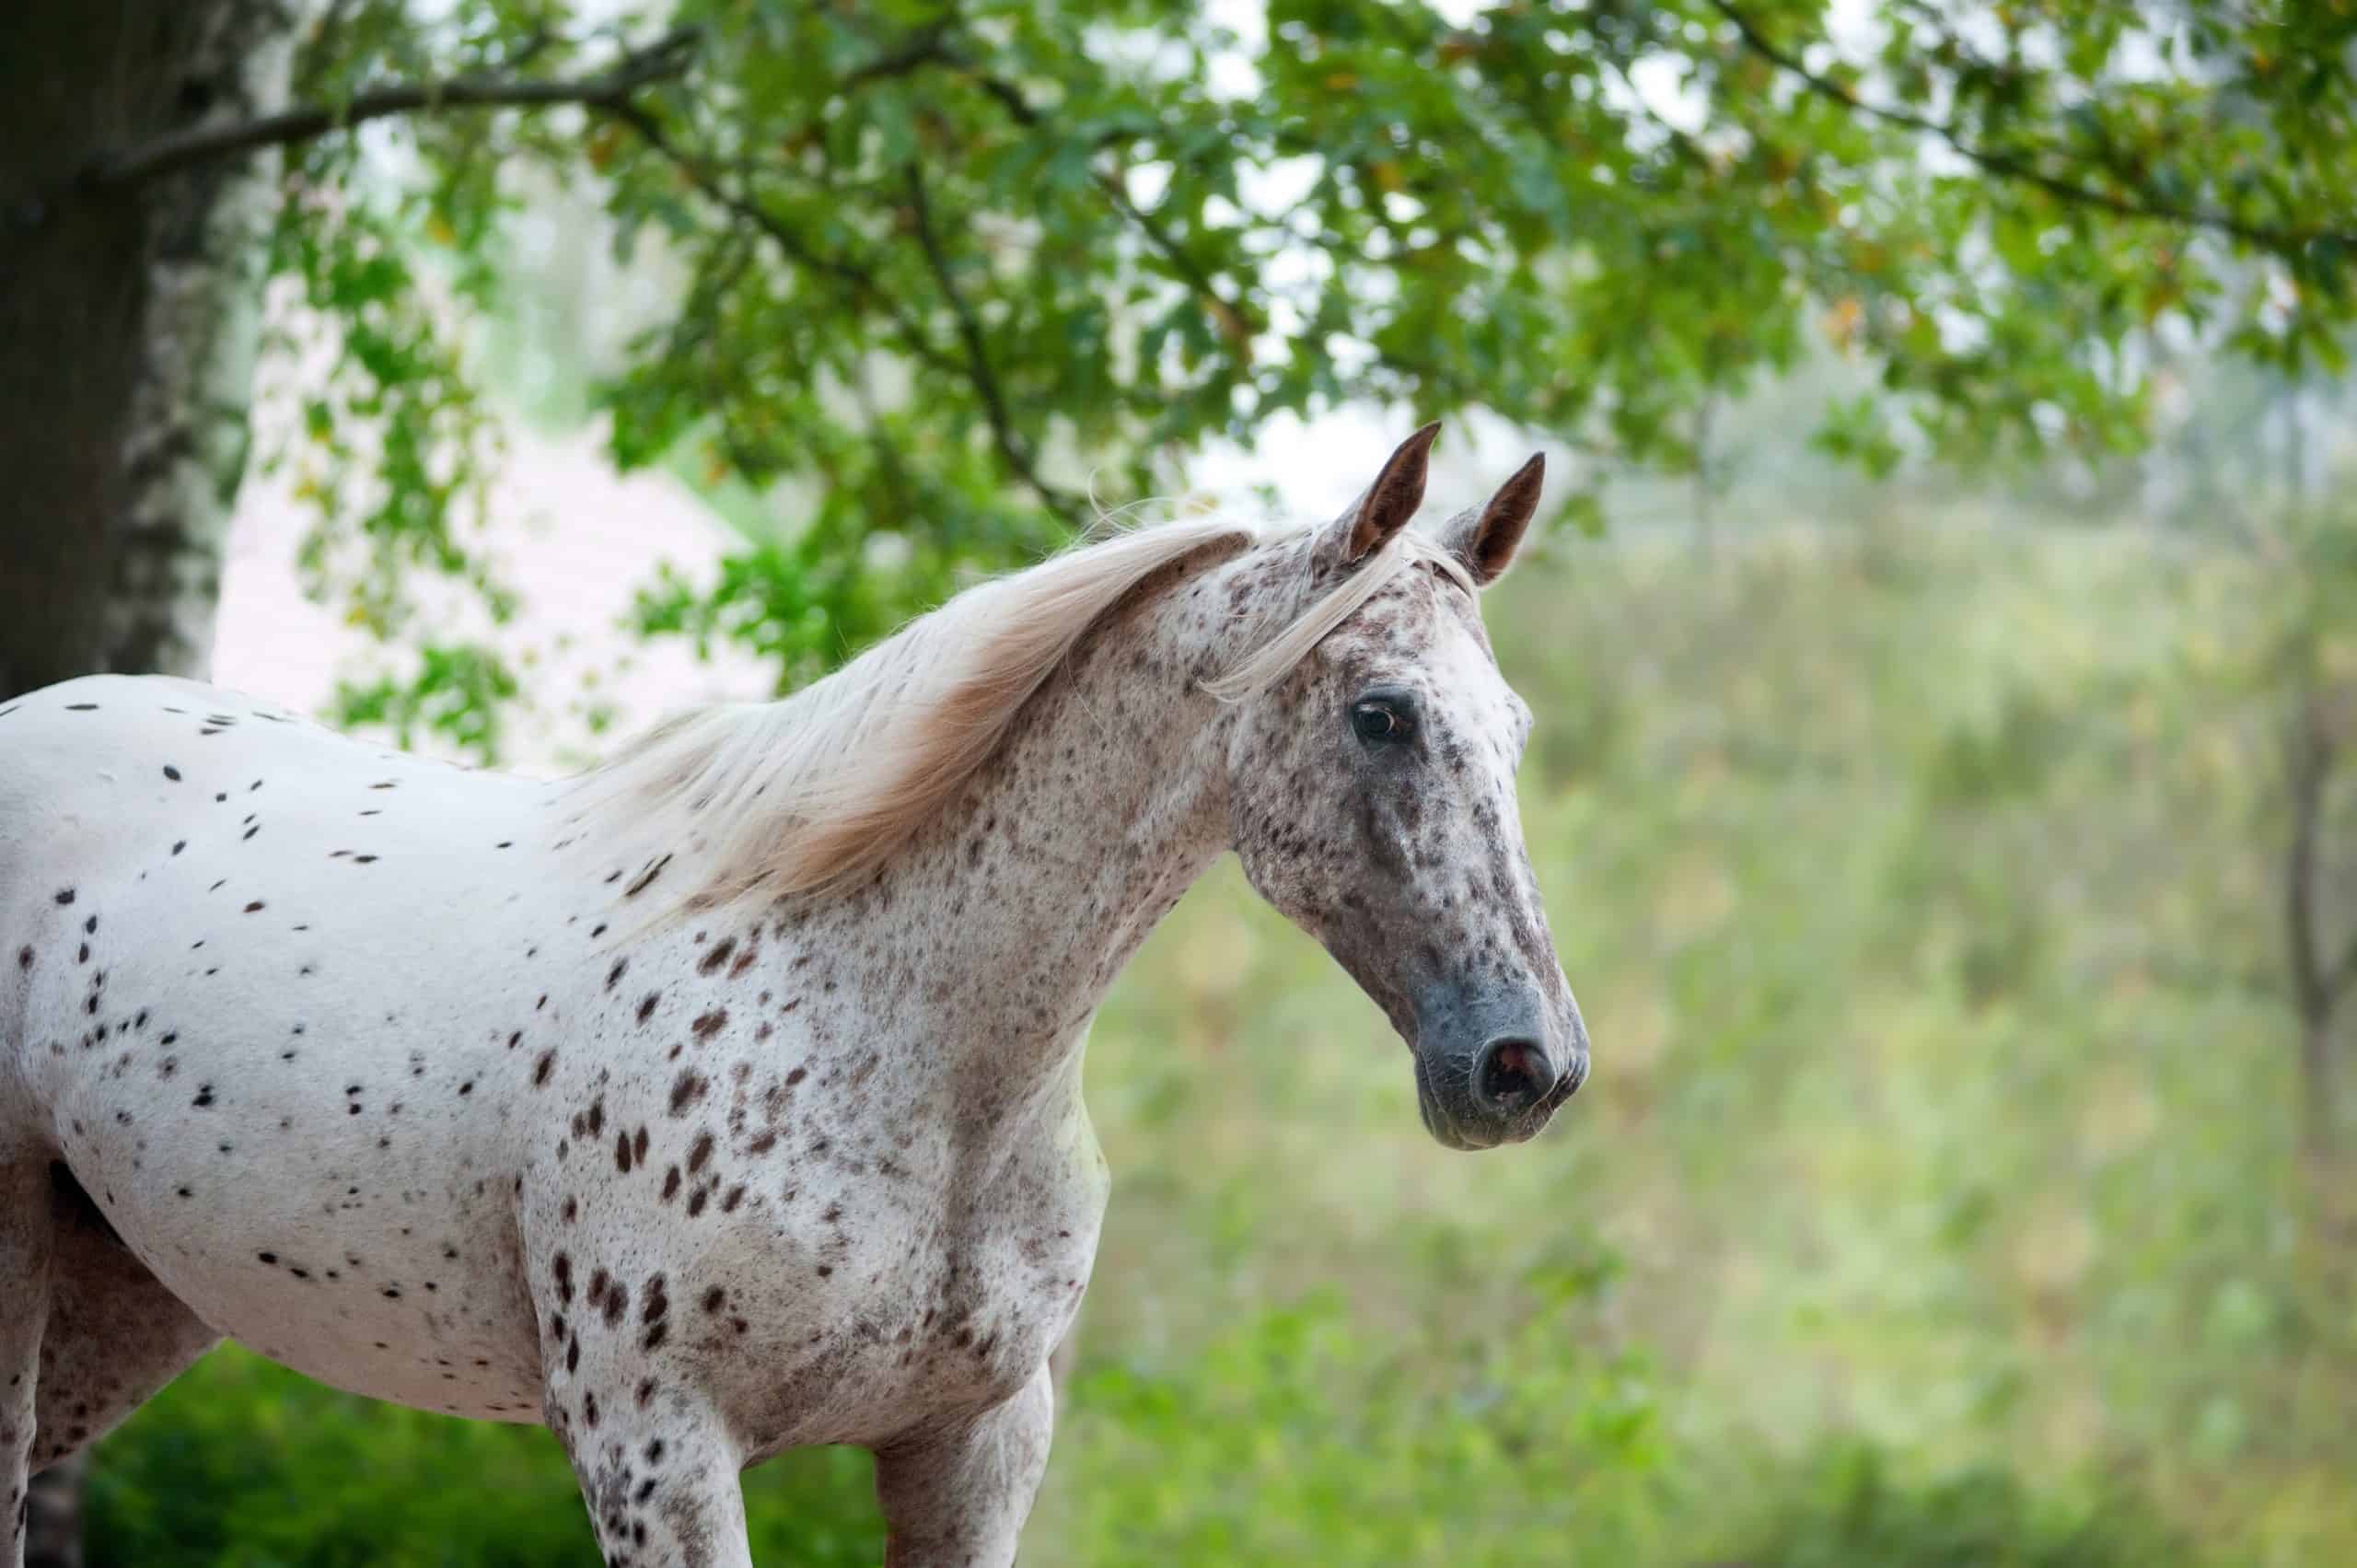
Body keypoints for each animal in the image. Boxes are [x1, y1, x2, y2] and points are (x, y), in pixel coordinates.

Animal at [0, 422, 1593, 1556]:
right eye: (1380, 713)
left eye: (1514, 725)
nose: (1528, 1063)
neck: (906, 1054)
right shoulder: (655, 1446)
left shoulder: (974, 1449)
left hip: (128, 1302)